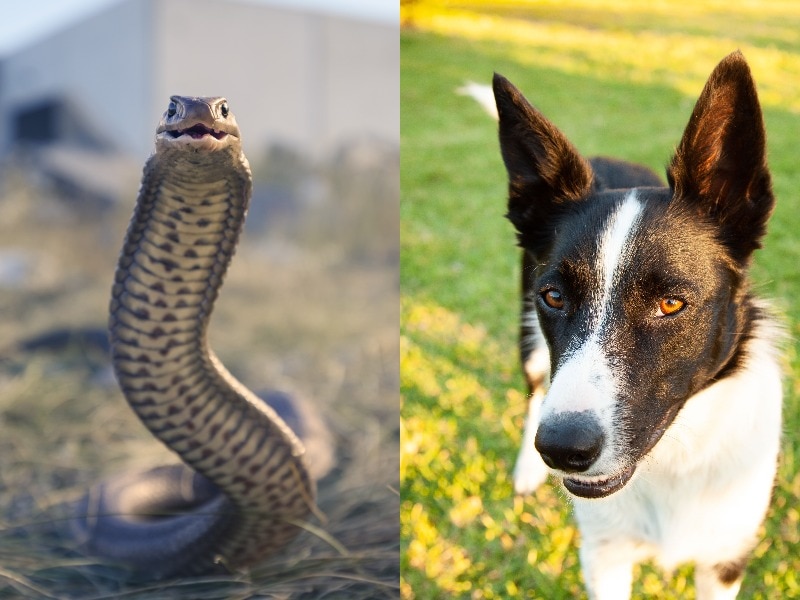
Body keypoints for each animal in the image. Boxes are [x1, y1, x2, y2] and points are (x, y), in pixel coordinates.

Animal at [488, 52, 780, 600]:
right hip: (530, 345)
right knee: (535, 390)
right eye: (554, 297)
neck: (672, 457)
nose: (561, 451)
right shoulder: (604, 557)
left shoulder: (725, 560)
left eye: (671, 304)